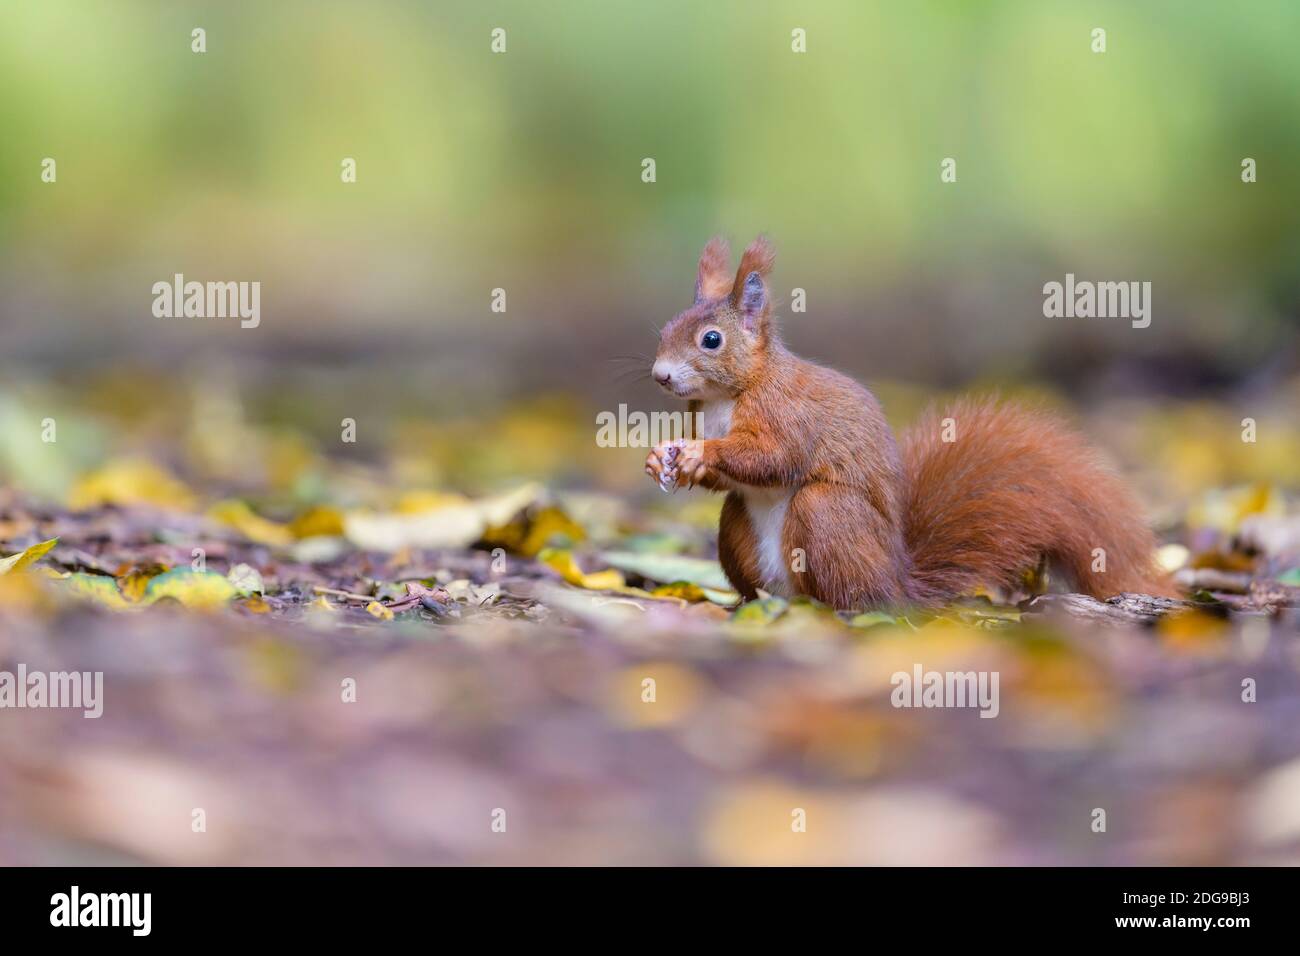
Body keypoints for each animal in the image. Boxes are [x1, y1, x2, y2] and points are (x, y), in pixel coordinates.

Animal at [644, 235, 1172, 610]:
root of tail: (898, 583)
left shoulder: (787, 413)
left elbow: (774, 457)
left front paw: (699, 453)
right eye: (665, 329)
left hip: (829, 517)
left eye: (712, 339)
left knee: (849, 592)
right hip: (739, 529)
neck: (726, 398)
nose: (660, 375)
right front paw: (660, 458)